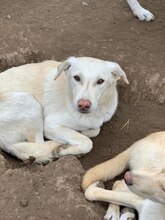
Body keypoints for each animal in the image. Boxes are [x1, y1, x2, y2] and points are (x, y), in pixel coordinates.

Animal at [0, 56, 128, 163]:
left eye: (100, 81)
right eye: (76, 78)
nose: (83, 105)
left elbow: (95, 130)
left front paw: (81, 132)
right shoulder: (50, 125)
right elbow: (87, 142)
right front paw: (66, 149)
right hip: (29, 102)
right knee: (38, 146)